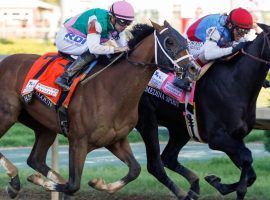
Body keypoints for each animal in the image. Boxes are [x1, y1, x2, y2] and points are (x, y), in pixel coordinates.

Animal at [0, 21, 200, 199]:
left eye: (184, 40)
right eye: (170, 41)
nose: (194, 68)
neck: (112, 90)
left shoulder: (115, 140)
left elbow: (135, 170)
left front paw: (99, 184)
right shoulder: (78, 141)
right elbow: (73, 185)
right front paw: (44, 182)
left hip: (44, 126)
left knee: (34, 159)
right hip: (8, 114)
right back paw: (14, 178)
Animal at [136, 23, 270, 200]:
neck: (235, 83)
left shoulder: (236, 136)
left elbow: (250, 172)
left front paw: (216, 182)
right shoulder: (216, 138)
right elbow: (247, 158)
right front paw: (233, 188)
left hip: (181, 127)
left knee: (168, 158)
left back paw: (194, 185)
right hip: (147, 120)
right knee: (155, 165)